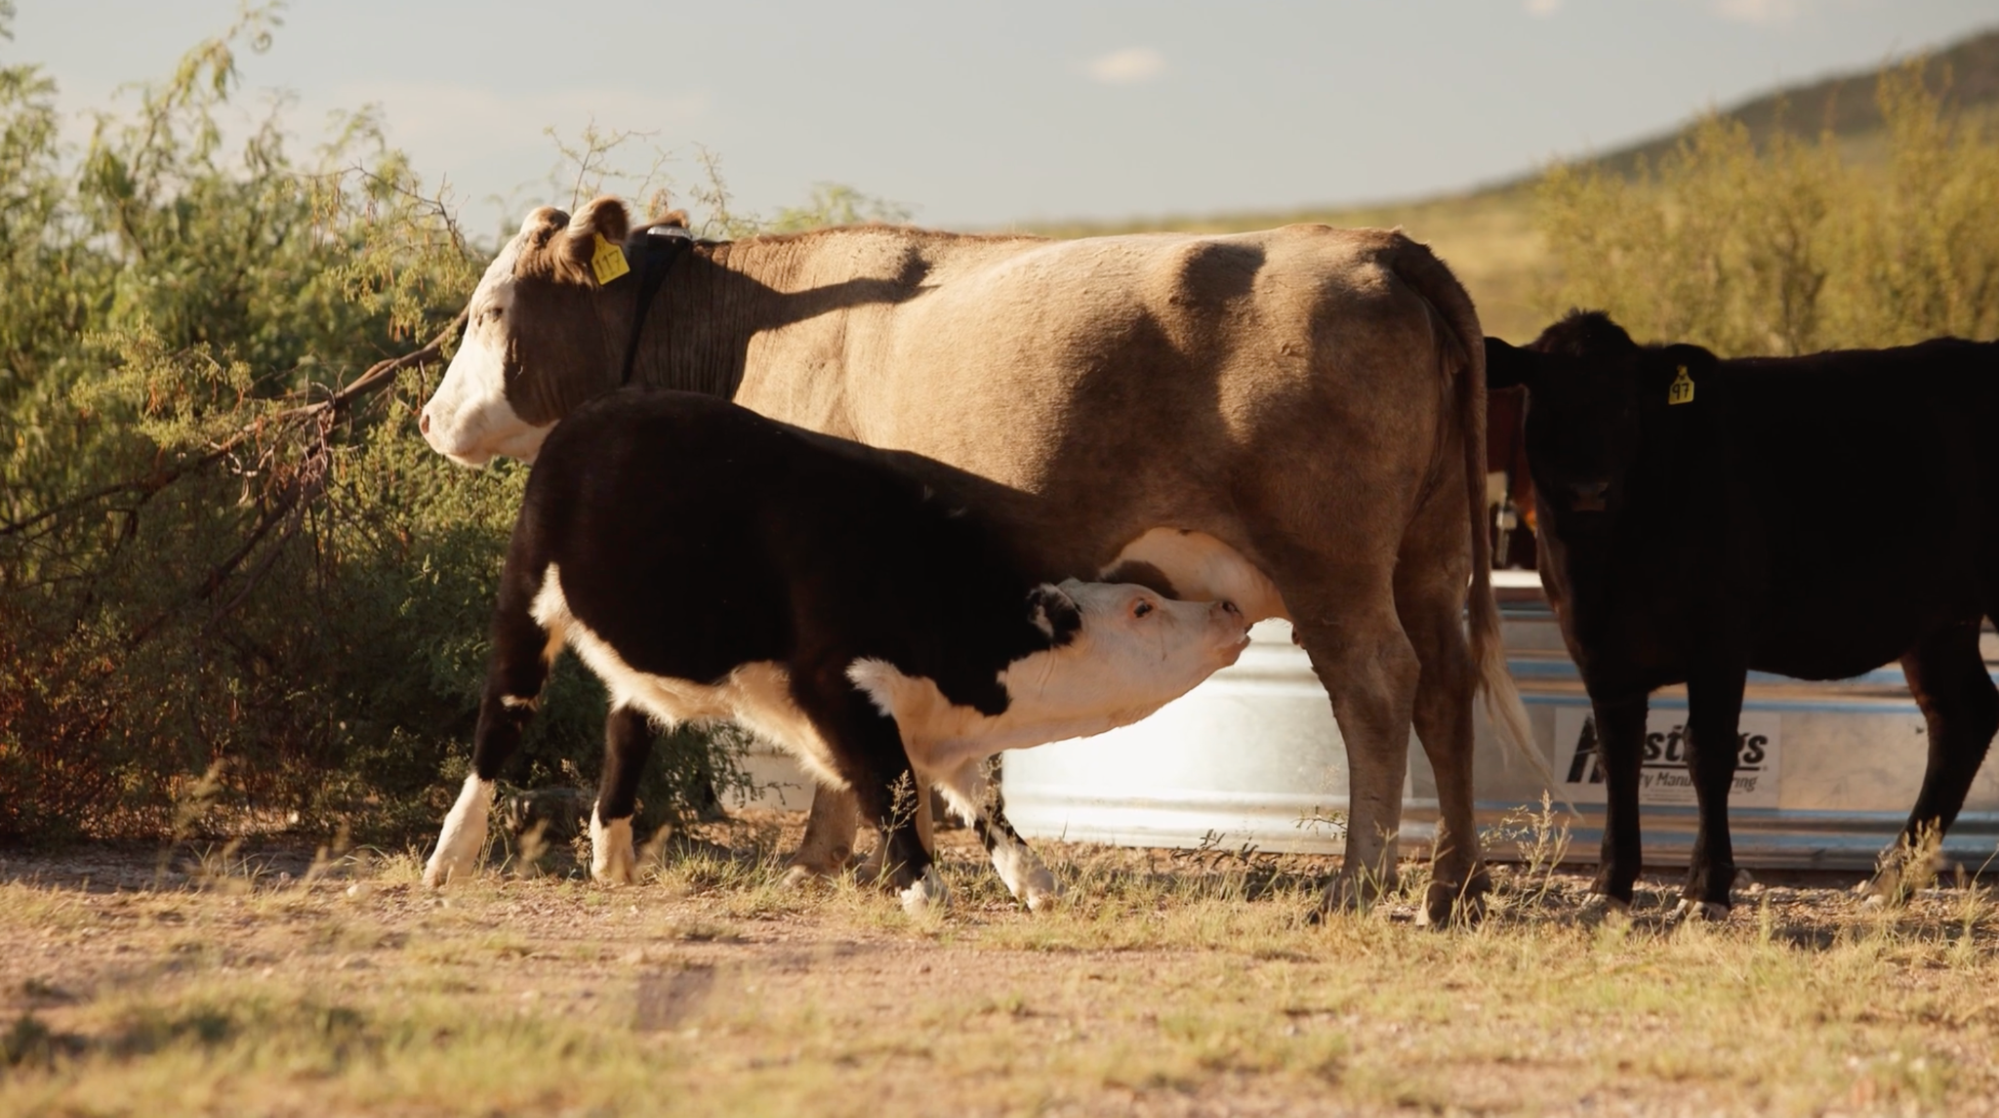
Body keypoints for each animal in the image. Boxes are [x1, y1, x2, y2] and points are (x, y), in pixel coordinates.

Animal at [421, 389, 1252, 911]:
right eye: (1142, 607)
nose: (1226, 608)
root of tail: (591, 415)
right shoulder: (839, 686)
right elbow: (892, 789)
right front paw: (922, 890)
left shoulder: (936, 723)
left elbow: (981, 801)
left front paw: (1034, 881)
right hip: (527, 604)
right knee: (499, 725)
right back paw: (451, 855)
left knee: (628, 724)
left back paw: (614, 857)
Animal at [1485, 310, 1999, 917]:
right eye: (1545, 402)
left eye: (1625, 404)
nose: (1588, 490)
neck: (1607, 562)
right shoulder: (1596, 648)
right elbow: (1618, 758)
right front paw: (1611, 884)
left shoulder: (1720, 640)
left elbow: (1708, 753)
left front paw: (1705, 888)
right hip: (1938, 622)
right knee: (1961, 716)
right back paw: (1888, 880)